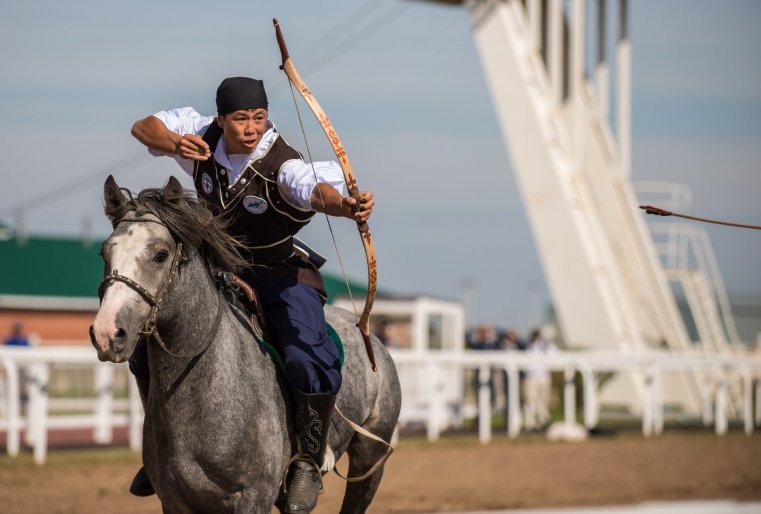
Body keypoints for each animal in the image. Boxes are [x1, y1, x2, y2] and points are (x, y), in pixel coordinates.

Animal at [91, 176, 400, 512]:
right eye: (105, 253)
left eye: (160, 254)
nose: (107, 333)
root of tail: (371, 340)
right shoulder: (174, 503)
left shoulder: (252, 498)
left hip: (370, 460)